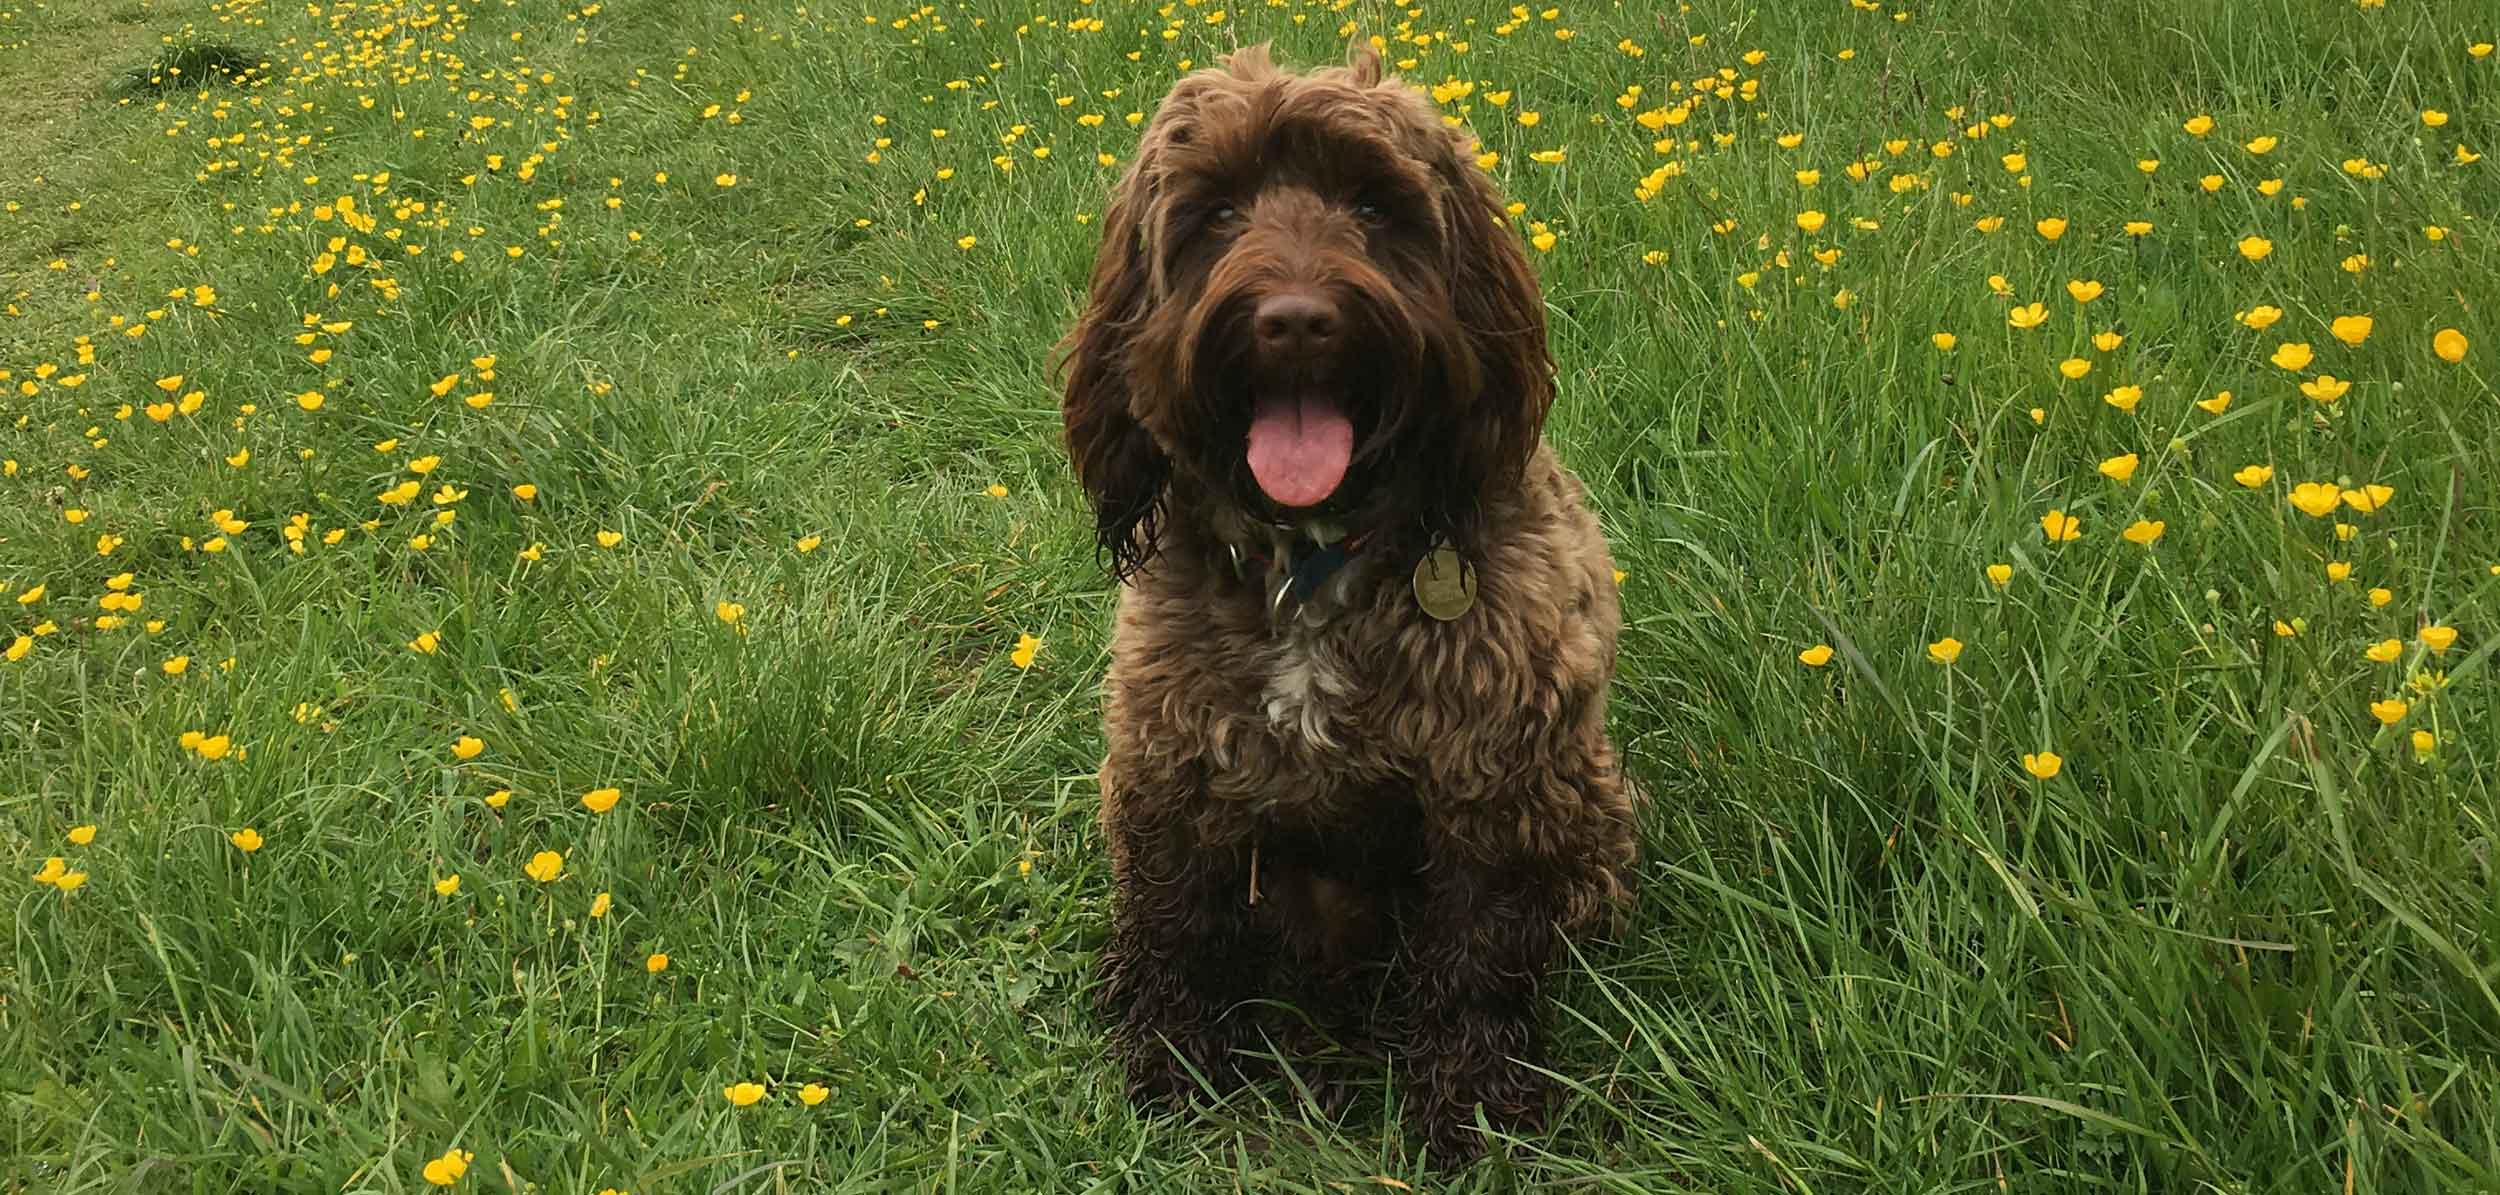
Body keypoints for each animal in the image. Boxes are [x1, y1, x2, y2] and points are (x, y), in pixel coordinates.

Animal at [1050, 39, 1640, 1160]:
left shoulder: (1493, 784)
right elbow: (1175, 926)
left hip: (1588, 809)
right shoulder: (1169, 766)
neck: (1313, 558)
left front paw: (1471, 1105)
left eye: (1373, 205)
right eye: (1218, 212)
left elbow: (1476, 961)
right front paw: (1169, 1057)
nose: (1294, 322)